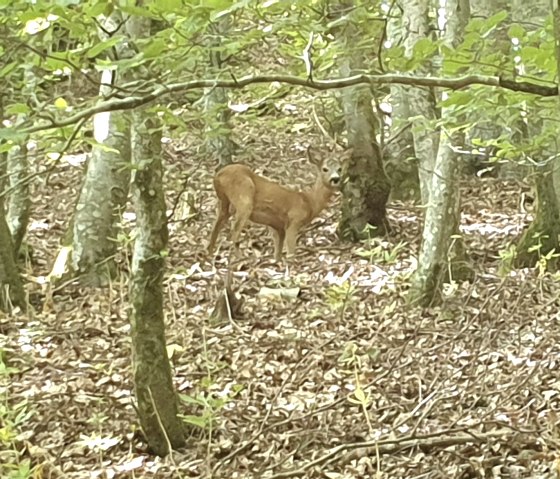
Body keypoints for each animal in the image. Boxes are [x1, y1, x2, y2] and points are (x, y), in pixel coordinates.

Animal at [207, 148, 346, 262]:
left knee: (216, 226)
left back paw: (209, 255)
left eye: (340, 169)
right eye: (325, 169)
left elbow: (277, 253)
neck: (309, 201)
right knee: (233, 233)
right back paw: (238, 259)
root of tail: (218, 176)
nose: (335, 179)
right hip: (244, 197)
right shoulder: (294, 220)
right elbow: (290, 253)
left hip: (224, 202)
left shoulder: (277, 226)